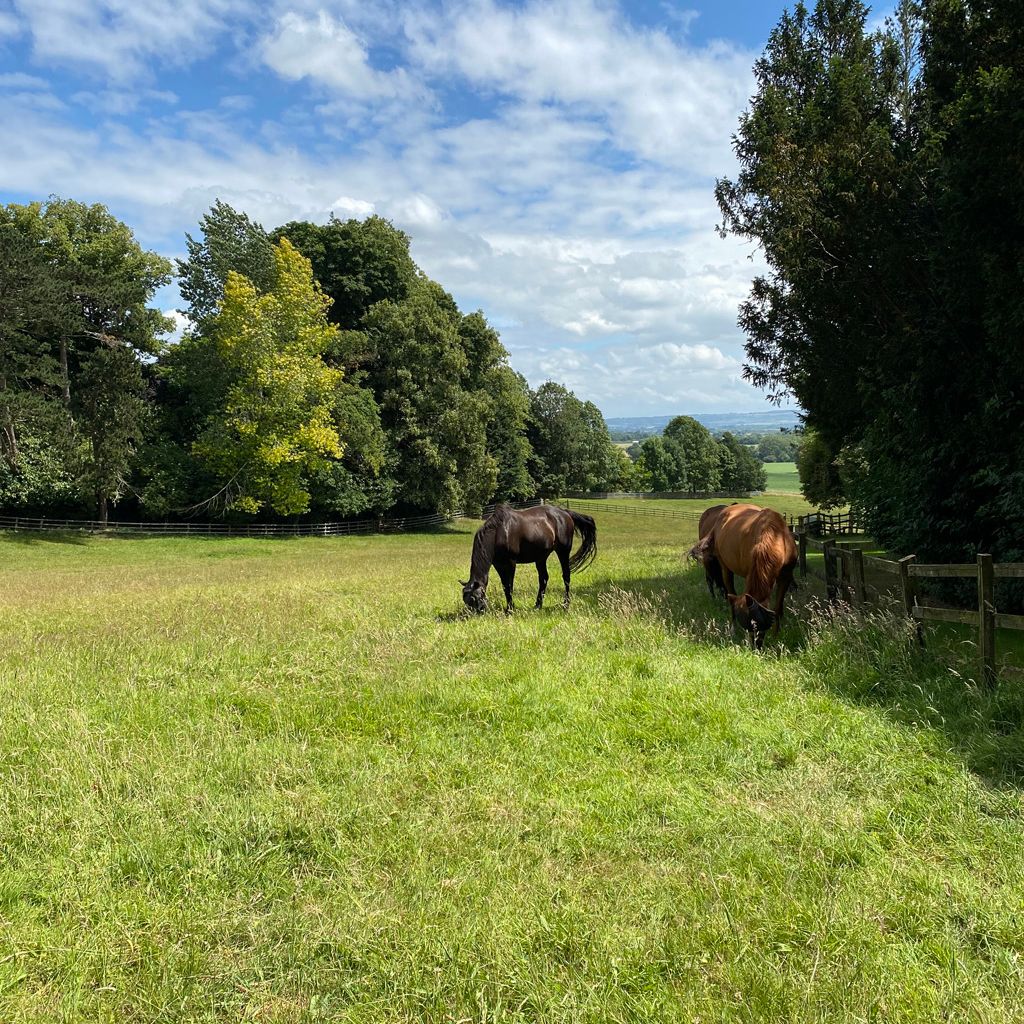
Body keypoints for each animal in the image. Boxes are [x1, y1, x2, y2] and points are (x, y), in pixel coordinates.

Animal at [461, 504, 597, 614]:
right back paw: (538, 605)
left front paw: (510, 609)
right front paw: (509, 607)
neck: (498, 532)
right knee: (543, 578)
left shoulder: (511, 563)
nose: (477, 613)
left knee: (566, 576)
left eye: (474, 598)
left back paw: (566, 604)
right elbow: (505, 586)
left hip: (563, 551)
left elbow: (509, 586)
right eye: (466, 600)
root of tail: (565, 512)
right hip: (541, 557)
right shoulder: (498, 564)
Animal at [695, 503, 798, 649]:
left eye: (758, 625)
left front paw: (776, 636)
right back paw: (732, 627)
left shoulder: (786, 577)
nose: (755, 648)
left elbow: (778, 608)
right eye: (747, 627)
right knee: (729, 591)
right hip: (724, 566)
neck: (774, 535)